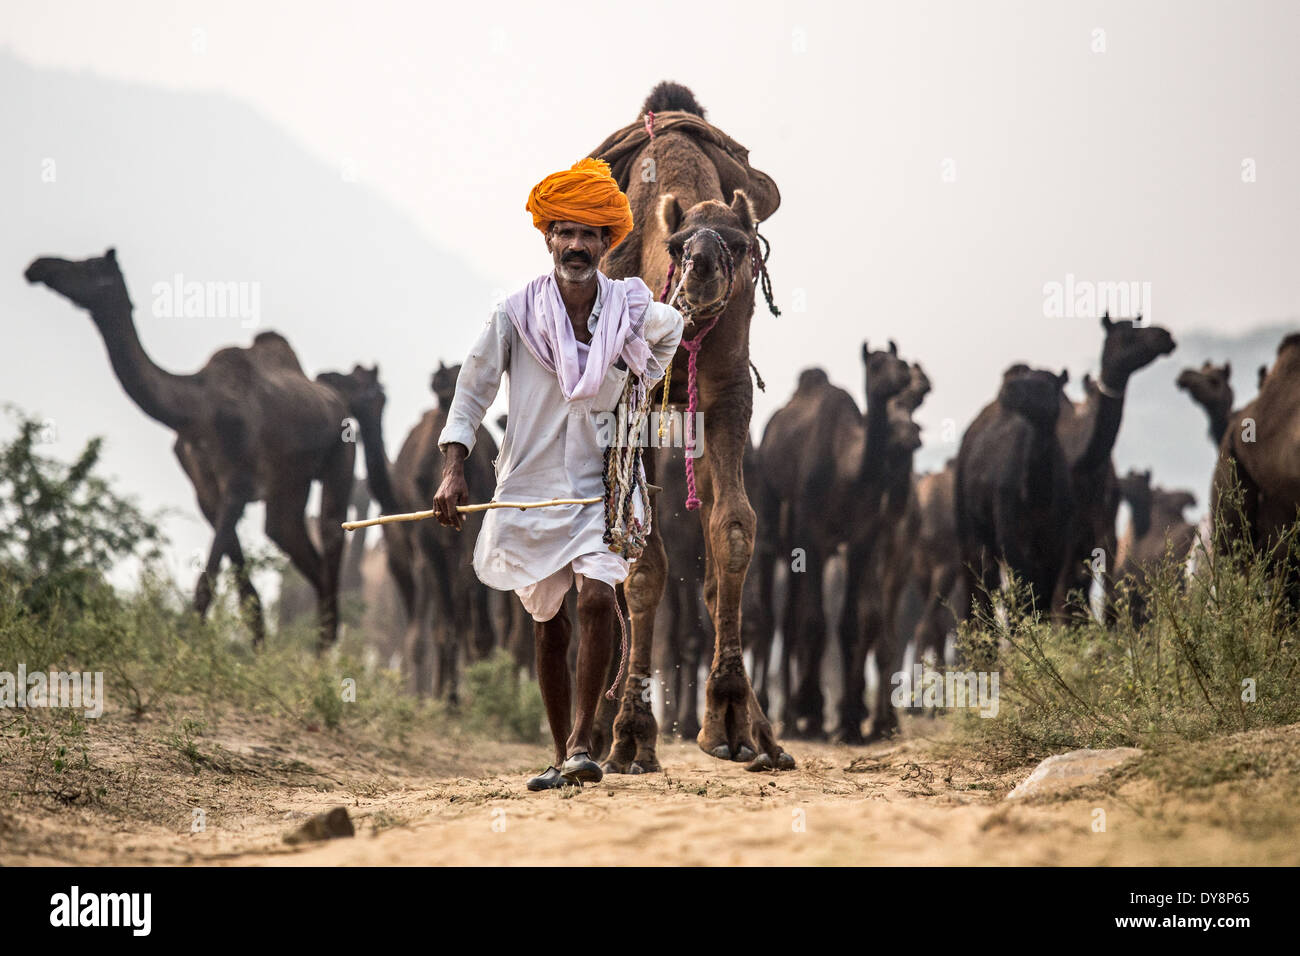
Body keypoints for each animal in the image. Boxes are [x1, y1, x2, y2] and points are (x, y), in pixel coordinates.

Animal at [29, 251, 356, 647]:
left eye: (90, 266)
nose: (39, 267)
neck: (195, 410)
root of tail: (335, 402)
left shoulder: (239, 483)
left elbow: (207, 582)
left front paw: (183, 650)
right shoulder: (206, 492)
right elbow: (243, 587)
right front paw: (255, 647)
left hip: (340, 455)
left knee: (330, 537)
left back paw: (322, 654)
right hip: (286, 491)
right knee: (294, 544)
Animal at [590, 80, 790, 770]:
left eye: (741, 244)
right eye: (680, 247)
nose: (702, 265)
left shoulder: (727, 395)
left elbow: (732, 528)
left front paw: (730, 718)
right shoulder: (635, 405)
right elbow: (643, 560)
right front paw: (630, 737)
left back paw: (762, 733)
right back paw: (597, 729)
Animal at [956, 361, 1076, 616]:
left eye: (1044, 383)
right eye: (1026, 376)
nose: (1009, 389)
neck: (1037, 496)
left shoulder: (1057, 542)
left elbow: (1043, 591)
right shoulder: (1011, 539)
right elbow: (1024, 588)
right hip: (969, 536)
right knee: (979, 586)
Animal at [1050, 314, 1175, 621]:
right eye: (1126, 335)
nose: (1165, 336)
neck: (1084, 460)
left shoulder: (1107, 528)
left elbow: (1108, 591)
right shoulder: (1067, 536)